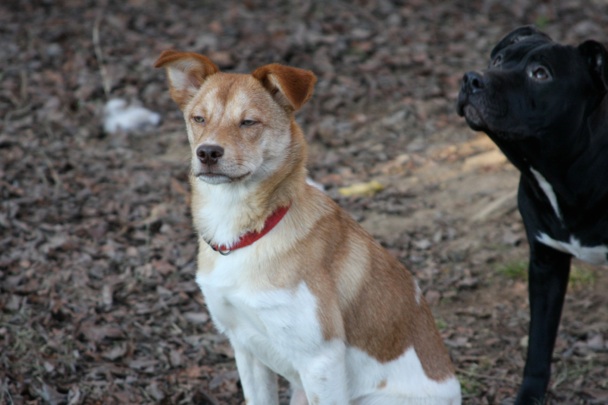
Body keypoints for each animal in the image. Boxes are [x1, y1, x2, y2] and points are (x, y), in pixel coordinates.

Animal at [155, 50, 461, 404]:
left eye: (248, 122)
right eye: (199, 119)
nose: (207, 153)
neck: (247, 232)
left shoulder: (320, 361)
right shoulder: (245, 346)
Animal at [457, 25, 608, 404]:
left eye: (540, 74)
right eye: (497, 60)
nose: (471, 79)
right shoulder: (545, 263)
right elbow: (539, 341)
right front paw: (529, 394)